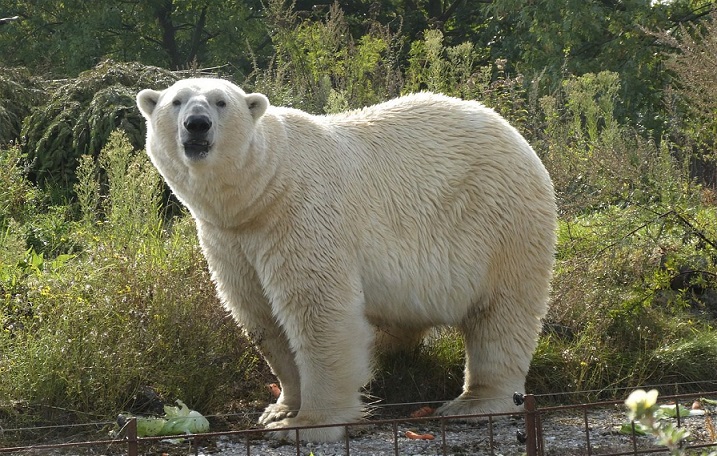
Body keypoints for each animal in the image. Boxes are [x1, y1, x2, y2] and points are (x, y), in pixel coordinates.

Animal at [137, 78, 556, 442]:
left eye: (221, 102)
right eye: (176, 101)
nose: (197, 124)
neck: (263, 191)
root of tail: (517, 136)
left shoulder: (301, 218)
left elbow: (319, 312)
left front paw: (305, 425)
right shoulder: (230, 240)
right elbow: (261, 318)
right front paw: (279, 409)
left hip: (498, 225)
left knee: (500, 315)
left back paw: (473, 403)